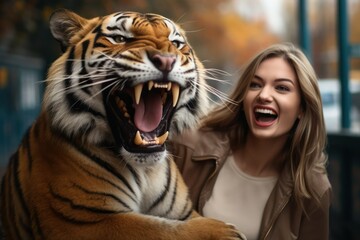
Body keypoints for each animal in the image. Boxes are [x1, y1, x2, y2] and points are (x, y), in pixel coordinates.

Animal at [0, 8, 246, 239]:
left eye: (176, 44)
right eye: (120, 39)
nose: (166, 60)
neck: (146, 172)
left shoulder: (184, 212)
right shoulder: (82, 220)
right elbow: (159, 229)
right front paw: (226, 232)